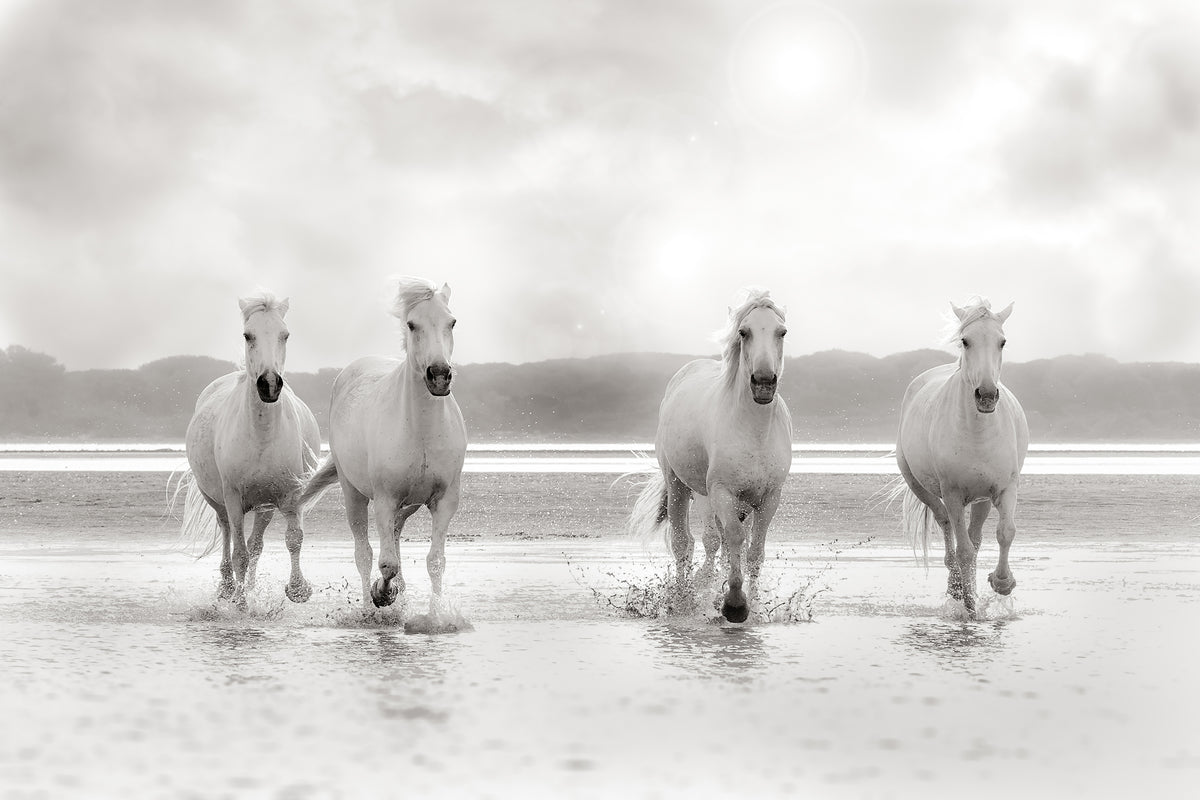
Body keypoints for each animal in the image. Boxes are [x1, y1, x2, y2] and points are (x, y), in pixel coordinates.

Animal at [180, 292, 321, 605]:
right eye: (248, 335)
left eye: (285, 334)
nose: (269, 384)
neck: (262, 437)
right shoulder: (233, 499)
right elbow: (240, 554)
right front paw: (240, 603)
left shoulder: (290, 495)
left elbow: (293, 539)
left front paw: (298, 589)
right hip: (218, 501)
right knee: (227, 534)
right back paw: (227, 587)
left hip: (264, 506)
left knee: (256, 543)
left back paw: (251, 587)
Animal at [299, 278, 466, 613]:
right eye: (412, 324)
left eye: (452, 322)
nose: (439, 375)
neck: (421, 430)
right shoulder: (385, 499)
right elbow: (386, 564)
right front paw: (382, 594)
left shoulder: (444, 501)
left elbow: (435, 561)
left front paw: (435, 616)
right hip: (353, 493)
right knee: (363, 553)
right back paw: (368, 606)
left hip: (410, 503)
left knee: (396, 536)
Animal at [628, 288, 793, 622]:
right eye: (744, 332)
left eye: (781, 332)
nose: (763, 383)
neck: (753, 431)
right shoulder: (722, 492)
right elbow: (734, 538)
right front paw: (734, 604)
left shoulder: (769, 497)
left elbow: (754, 550)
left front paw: (754, 605)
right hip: (679, 485)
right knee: (684, 544)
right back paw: (682, 601)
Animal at [895, 298, 1030, 618]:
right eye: (965, 341)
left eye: (1002, 342)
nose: (987, 395)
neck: (978, 432)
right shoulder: (953, 493)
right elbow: (964, 549)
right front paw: (969, 605)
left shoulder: (1005, 488)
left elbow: (1005, 532)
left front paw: (1002, 583)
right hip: (922, 486)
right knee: (947, 526)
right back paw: (956, 586)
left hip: (982, 499)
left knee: (975, 536)